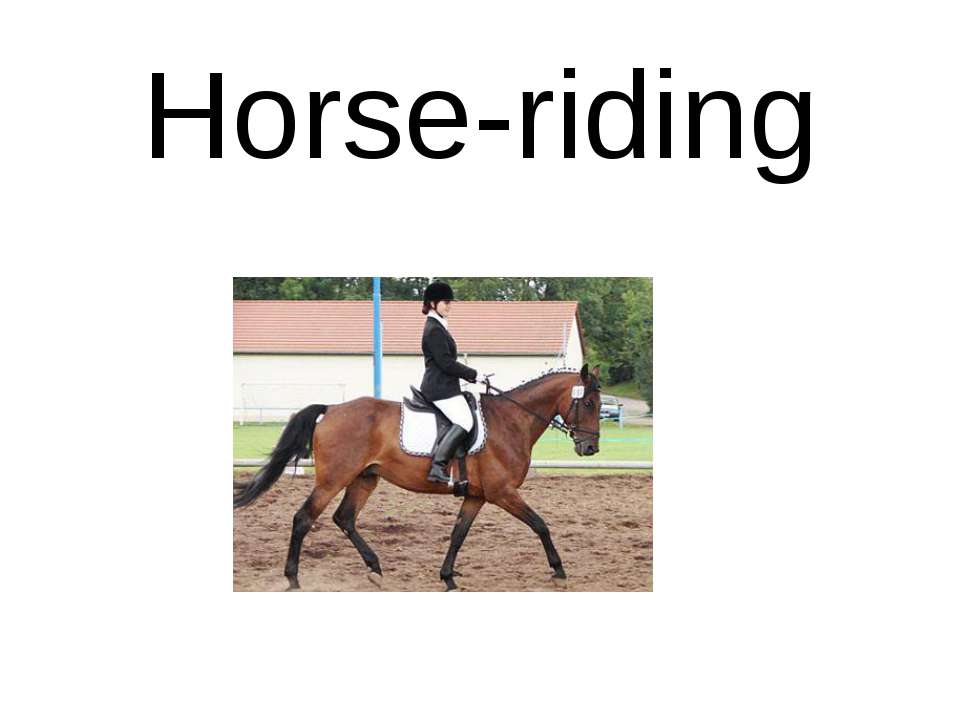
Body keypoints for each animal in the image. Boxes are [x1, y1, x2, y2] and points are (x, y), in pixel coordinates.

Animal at [234, 365, 602, 591]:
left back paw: (375, 569)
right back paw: (294, 579)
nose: (591, 448)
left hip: (364, 478)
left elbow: (458, 535)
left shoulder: (476, 495)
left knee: (345, 518)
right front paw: (559, 572)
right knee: (303, 519)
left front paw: (448, 577)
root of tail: (331, 409)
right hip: (332, 480)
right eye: (589, 404)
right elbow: (540, 524)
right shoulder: (503, 492)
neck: (511, 421)